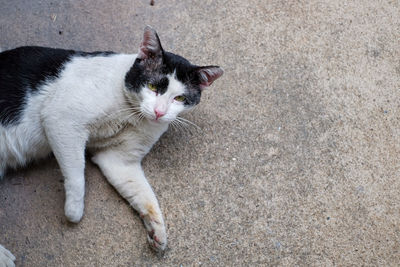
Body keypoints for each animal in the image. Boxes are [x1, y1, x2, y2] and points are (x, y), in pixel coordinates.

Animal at [0, 25, 222, 266]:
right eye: (153, 86)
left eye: (180, 98)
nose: (159, 112)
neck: (131, 114)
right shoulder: (62, 120)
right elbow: (77, 174)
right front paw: (73, 211)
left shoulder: (118, 160)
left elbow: (146, 196)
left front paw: (157, 232)